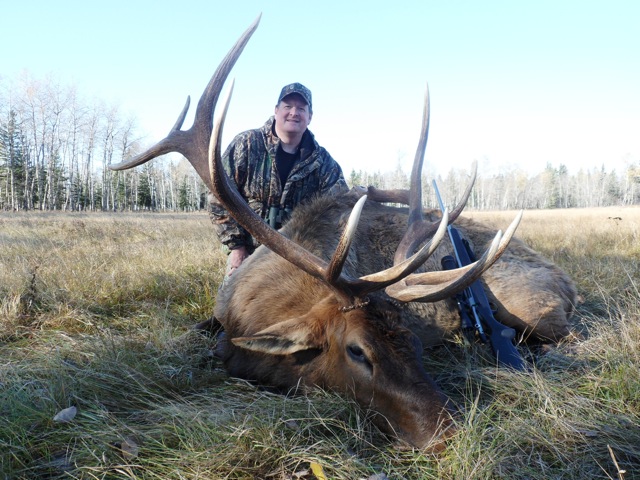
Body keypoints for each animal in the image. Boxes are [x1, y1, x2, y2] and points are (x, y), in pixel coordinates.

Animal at [110, 16, 577, 450]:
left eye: (413, 340)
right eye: (357, 350)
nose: (447, 431)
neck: (248, 311)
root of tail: (568, 283)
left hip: (533, 307)